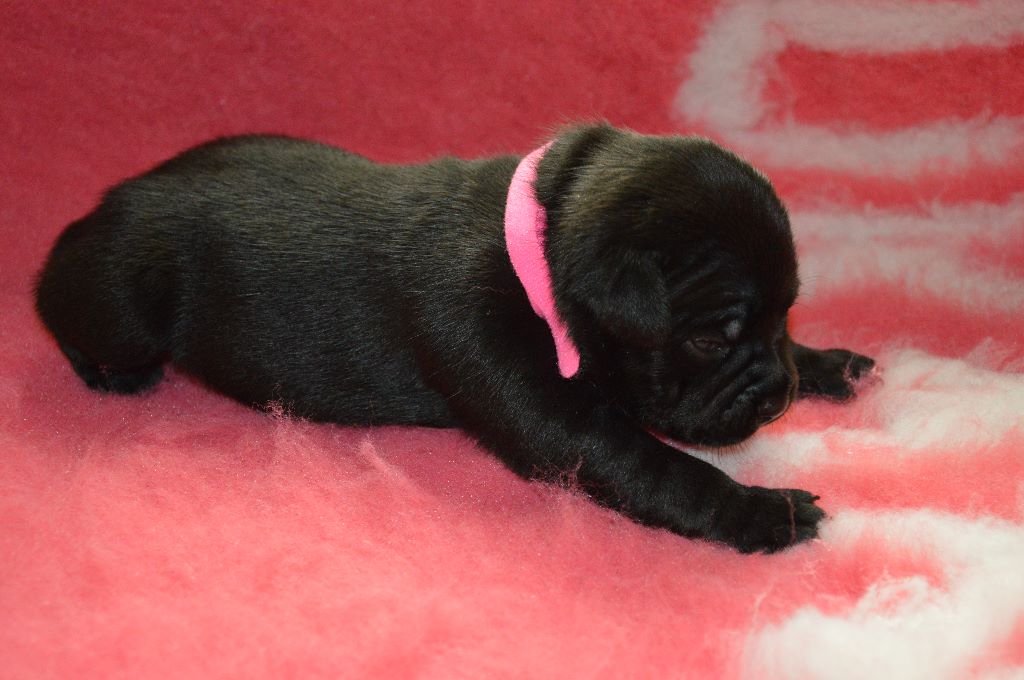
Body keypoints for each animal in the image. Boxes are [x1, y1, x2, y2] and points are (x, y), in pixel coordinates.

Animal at [35, 124, 873, 553]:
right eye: (709, 341)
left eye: (786, 314)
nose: (777, 396)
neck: (543, 237)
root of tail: (111, 198)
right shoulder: (537, 397)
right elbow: (652, 465)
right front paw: (760, 512)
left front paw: (825, 364)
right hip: (119, 299)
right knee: (60, 304)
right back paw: (106, 370)